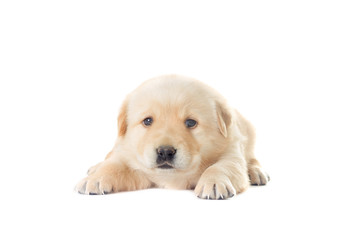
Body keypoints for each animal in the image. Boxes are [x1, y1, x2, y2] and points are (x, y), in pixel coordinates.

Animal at [75, 74, 268, 199]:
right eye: (147, 121)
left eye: (190, 123)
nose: (165, 152)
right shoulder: (130, 158)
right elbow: (113, 165)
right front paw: (95, 179)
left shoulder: (231, 151)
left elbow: (222, 167)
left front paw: (213, 182)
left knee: (251, 159)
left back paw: (257, 173)